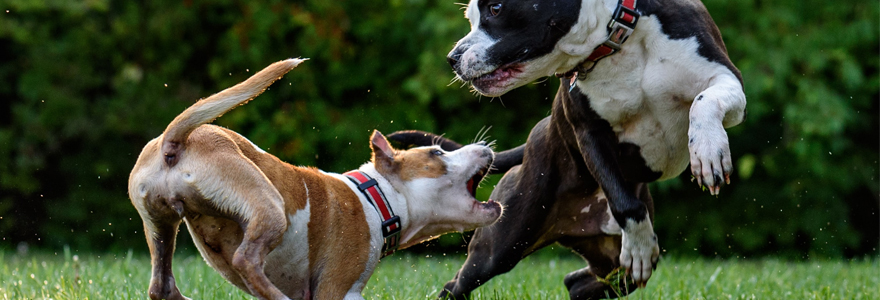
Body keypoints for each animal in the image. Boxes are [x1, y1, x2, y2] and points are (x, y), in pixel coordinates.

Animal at [130, 59, 502, 300]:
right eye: (437, 153)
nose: (486, 146)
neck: (375, 196)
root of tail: (174, 142)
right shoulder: (338, 289)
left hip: (160, 224)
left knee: (161, 286)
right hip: (268, 205)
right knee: (245, 259)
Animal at [396, 0, 744, 298]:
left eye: (495, 8)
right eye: (471, 17)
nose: (453, 58)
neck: (618, 40)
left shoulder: (727, 79)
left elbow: (704, 99)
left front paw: (708, 149)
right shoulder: (588, 133)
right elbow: (624, 203)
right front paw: (640, 246)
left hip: (610, 263)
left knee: (578, 282)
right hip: (502, 244)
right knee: (457, 284)